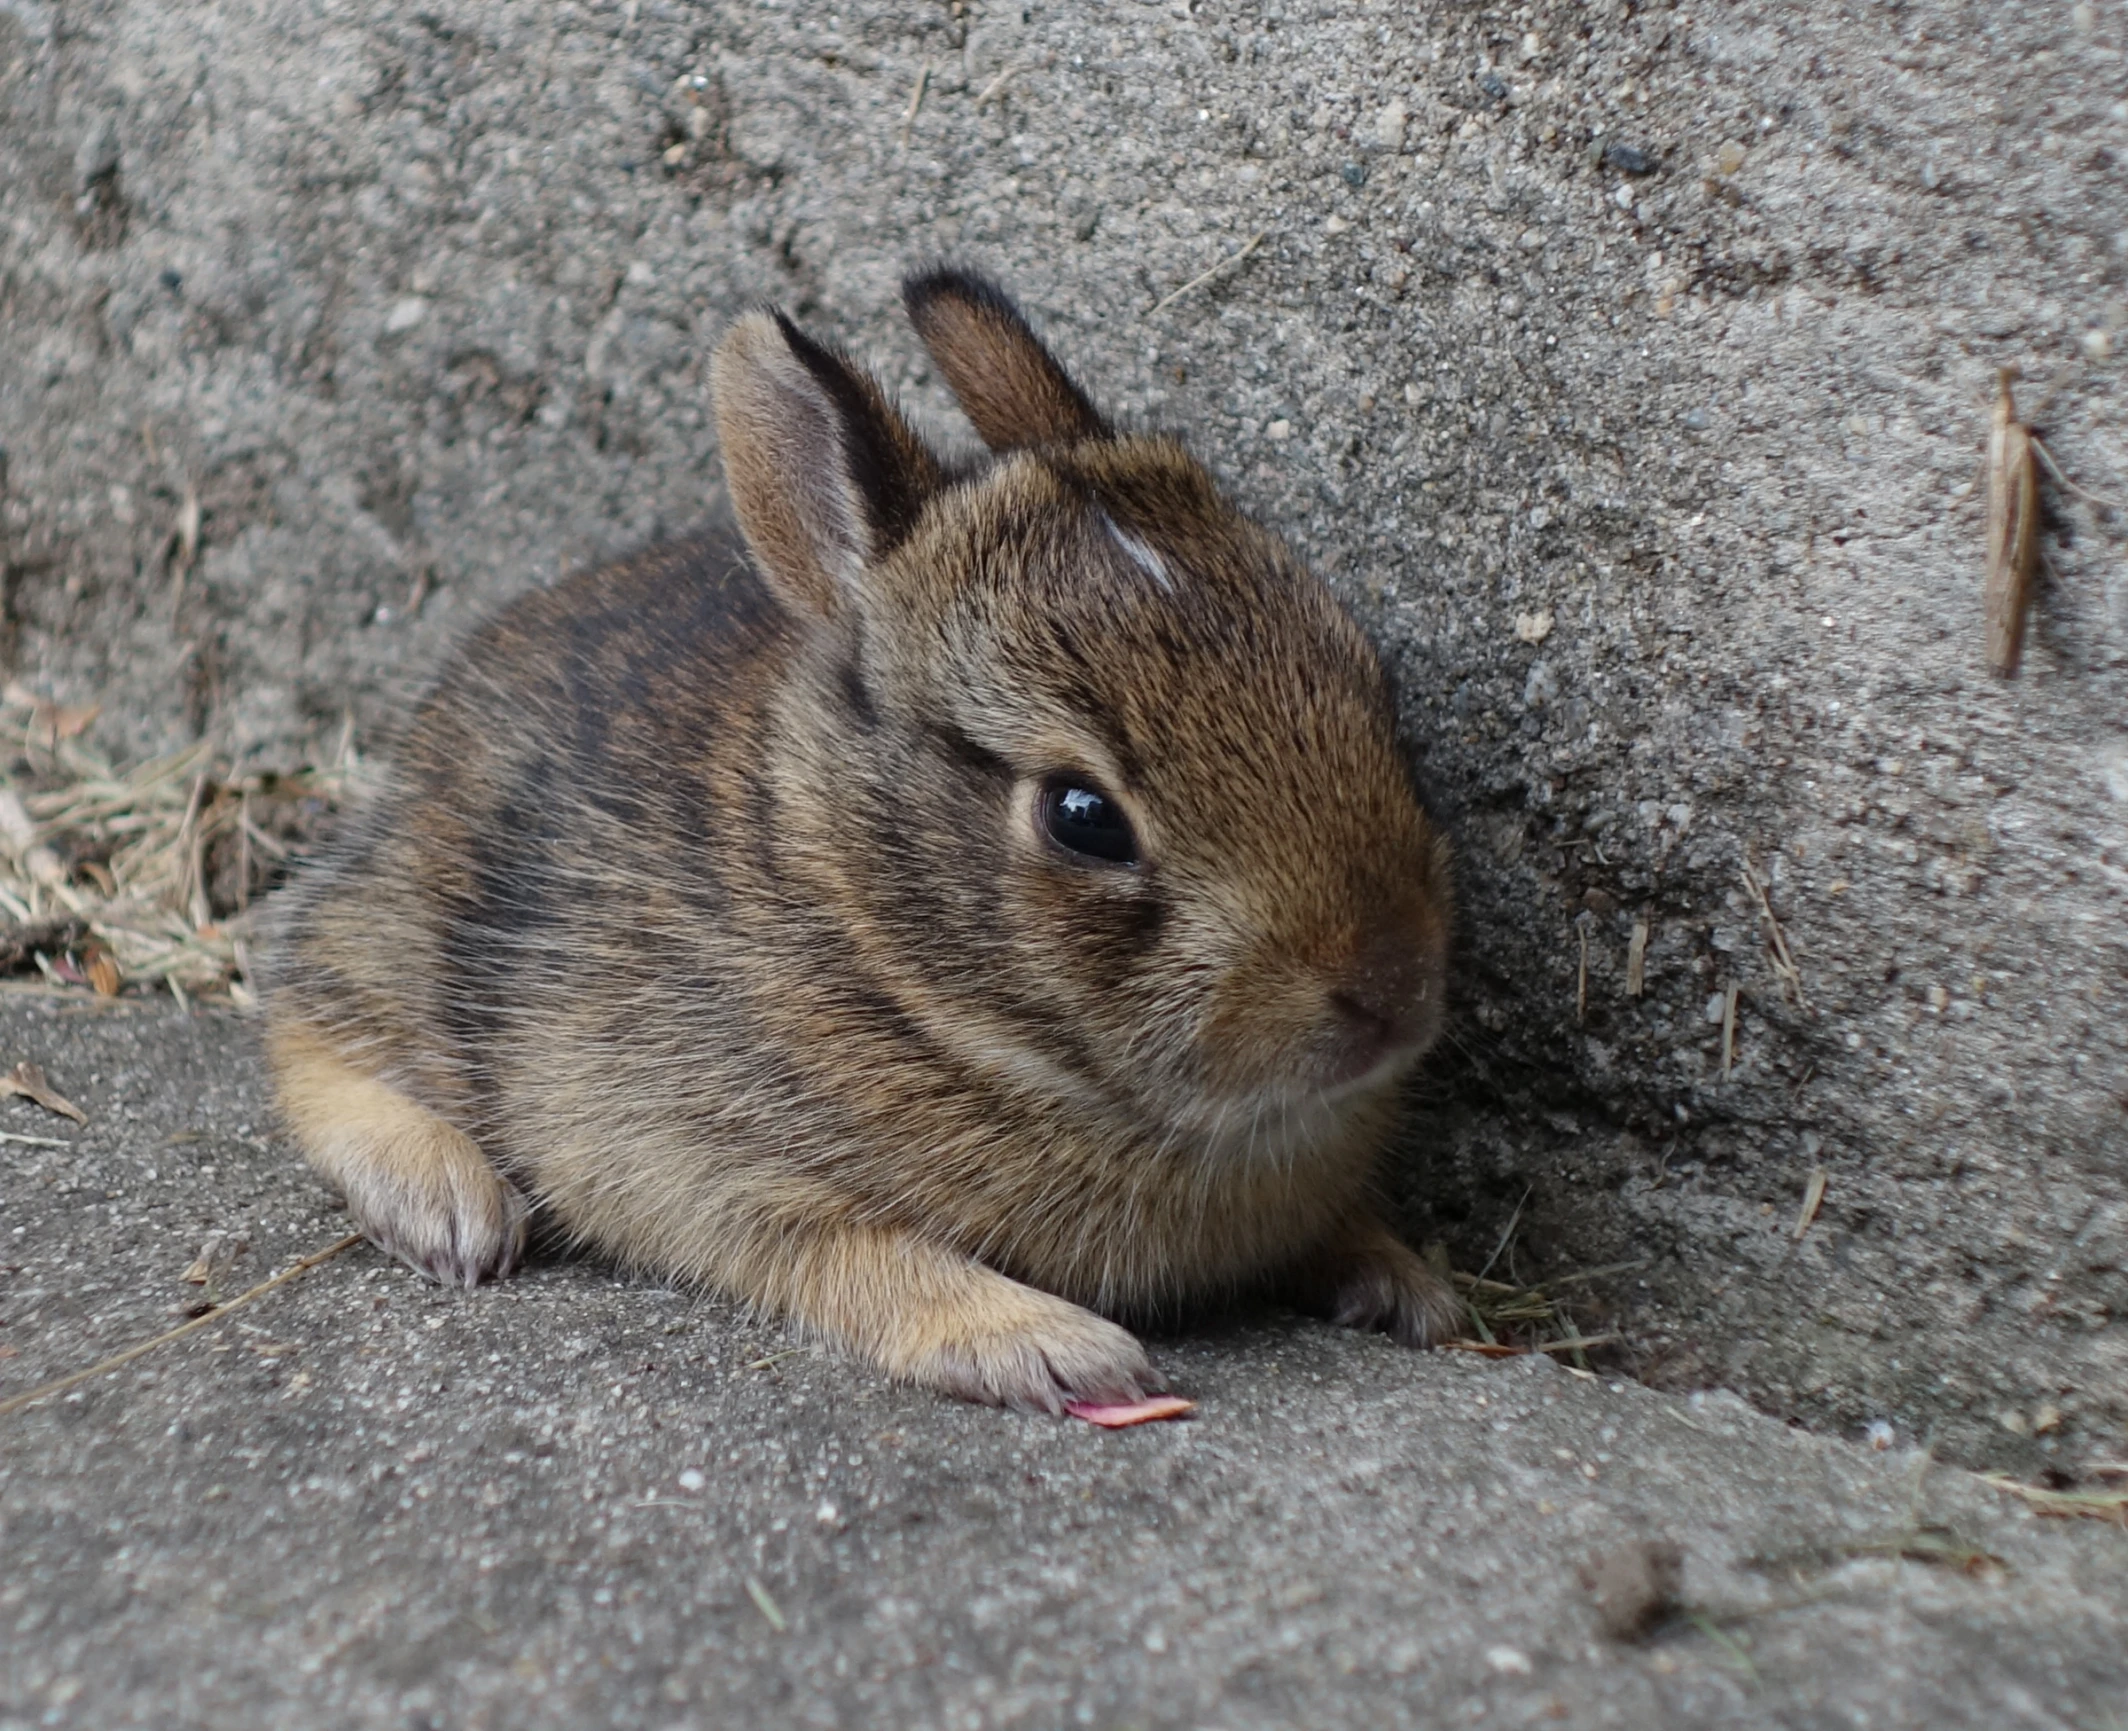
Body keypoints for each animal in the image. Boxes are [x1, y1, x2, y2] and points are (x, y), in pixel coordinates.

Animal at [261, 267, 1464, 1405]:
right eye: (1082, 818)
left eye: (1369, 679)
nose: (1391, 991)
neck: (883, 948)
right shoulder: (684, 1155)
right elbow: (859, 1257)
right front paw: (1052, 1351)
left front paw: (1409, 1287)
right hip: (421, 926)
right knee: (304, 1005)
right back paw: (449, 1206)